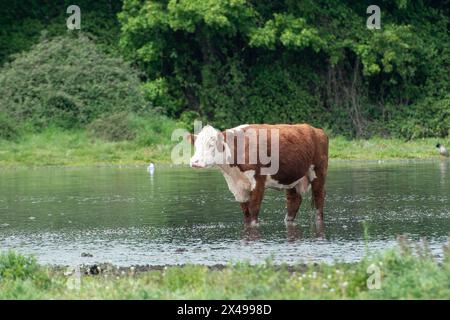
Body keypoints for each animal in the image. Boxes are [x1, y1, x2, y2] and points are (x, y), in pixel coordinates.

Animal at [186, 123, 326, 225]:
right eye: (196, 145)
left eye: (212, 145)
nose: (195, 162)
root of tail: (315, 129)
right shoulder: (238, 187)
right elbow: (246, 213)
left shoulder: (258, 181)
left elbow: (253, 209)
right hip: (291, 176)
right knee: (294, 201)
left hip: (318, 171)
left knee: (319, 198)